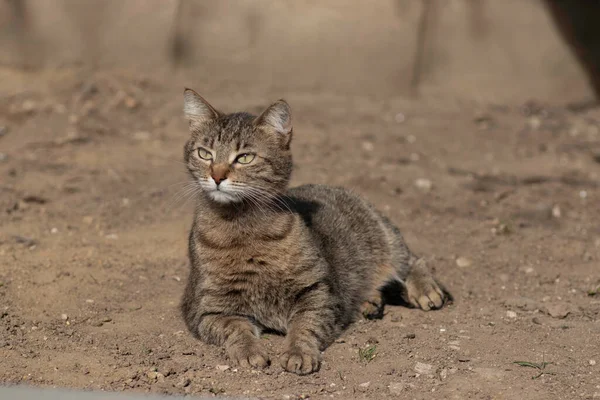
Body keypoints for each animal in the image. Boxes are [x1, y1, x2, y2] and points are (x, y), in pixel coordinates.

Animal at [178, 88, 446, 376]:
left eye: (245, 157)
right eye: (205, 154)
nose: (217, 176)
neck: (242, 225)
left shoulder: (318, 292)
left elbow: (304, 327)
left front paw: (298, 352)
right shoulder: (205, 309)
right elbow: (235, 329)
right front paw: (249, 352)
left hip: (388, 241)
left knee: (414, 260)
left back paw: (424, 289)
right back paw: (369, 301)